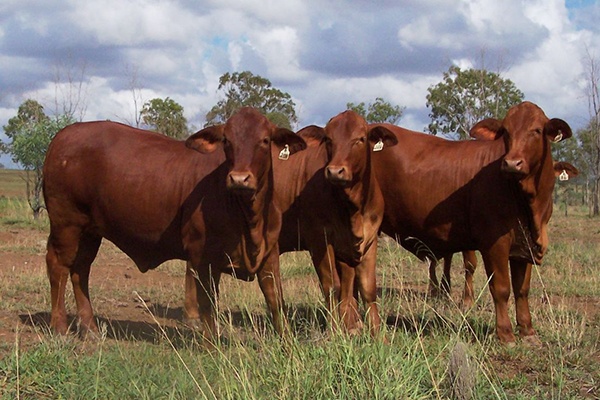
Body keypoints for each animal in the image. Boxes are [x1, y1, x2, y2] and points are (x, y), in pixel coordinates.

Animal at [43, 107, 304, 338]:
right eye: (227, 141)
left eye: (265, 140)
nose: (239, 178)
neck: (249, 218)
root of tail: (64, 135)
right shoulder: (203, 256)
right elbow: (208, 304)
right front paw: (211, 345)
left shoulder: (269, 253)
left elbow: (275, 299)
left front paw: (286, 343)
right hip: (66, 224)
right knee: (59, 266)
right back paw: (60, 328)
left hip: (90, 231)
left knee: (81, 269)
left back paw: (90, 329)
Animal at [372, 101, 576, 344]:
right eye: (506, 132)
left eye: (536, 130)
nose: (512, 163)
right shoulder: (494, 243)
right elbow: (501, 288)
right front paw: (505, 333)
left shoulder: (525, 245)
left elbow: (522, 289)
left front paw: (528, 331)